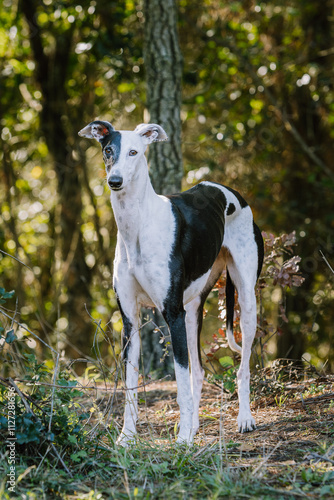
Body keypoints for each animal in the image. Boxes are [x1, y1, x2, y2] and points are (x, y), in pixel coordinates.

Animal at [78, 120, 264, 446]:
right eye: (109, 150)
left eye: (134, 152)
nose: (115, 181)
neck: (138, 226)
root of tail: (232, 193)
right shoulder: (130, 323)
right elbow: (131, 387)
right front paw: (127, 437)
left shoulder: (172, 313)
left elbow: (180, 383)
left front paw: (184, 440)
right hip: (192, 311)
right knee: (198, 372)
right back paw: (195, 425)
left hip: (244, 300)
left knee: (242, 367)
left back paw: (243, 418)